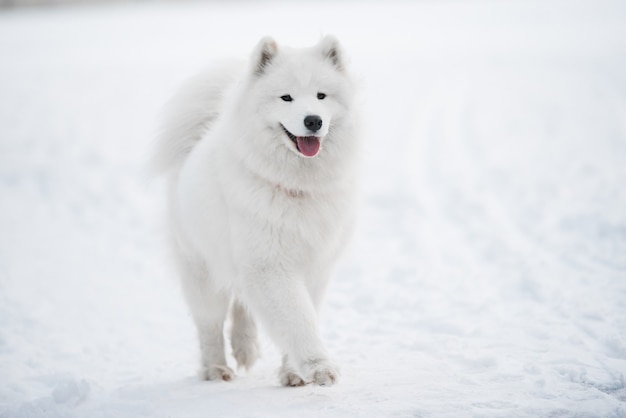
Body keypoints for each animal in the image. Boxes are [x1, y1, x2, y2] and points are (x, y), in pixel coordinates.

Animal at [151, 36, 356, 388]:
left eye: (321, 96)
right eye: (286, 97)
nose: (313, 120)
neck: (295, 187)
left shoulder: (313, 267)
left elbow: (300, 315)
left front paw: (292, 373)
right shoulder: (271, 267)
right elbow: (297, 318)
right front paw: (319, 366)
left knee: (243, 306)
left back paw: (245, 348)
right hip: (203, 273)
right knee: (210, 325)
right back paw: (216, 369)